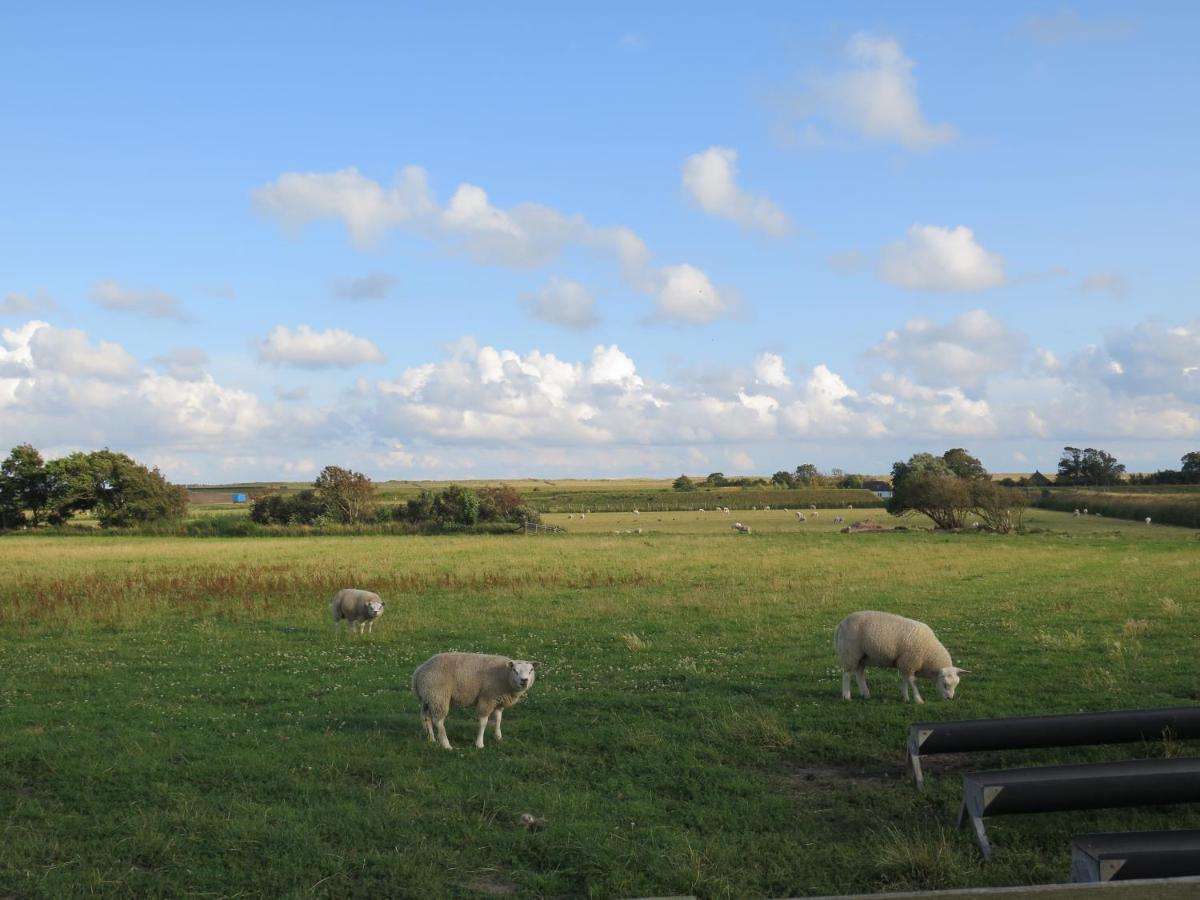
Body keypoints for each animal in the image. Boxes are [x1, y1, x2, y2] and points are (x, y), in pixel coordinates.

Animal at [840, 614, 969, 705]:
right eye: (945, 684)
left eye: (956, 684)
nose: (950, 698)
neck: (929, 654)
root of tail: (841, 623)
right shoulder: (910, 662)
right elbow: (912, 681)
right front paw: (918, 699)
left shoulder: (905, 663)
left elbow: (905, 680)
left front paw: (905, 697)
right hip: (850, 652)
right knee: (847, 674)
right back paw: (847, 696)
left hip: (863, 656)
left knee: (859, 673)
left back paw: (865, 693)